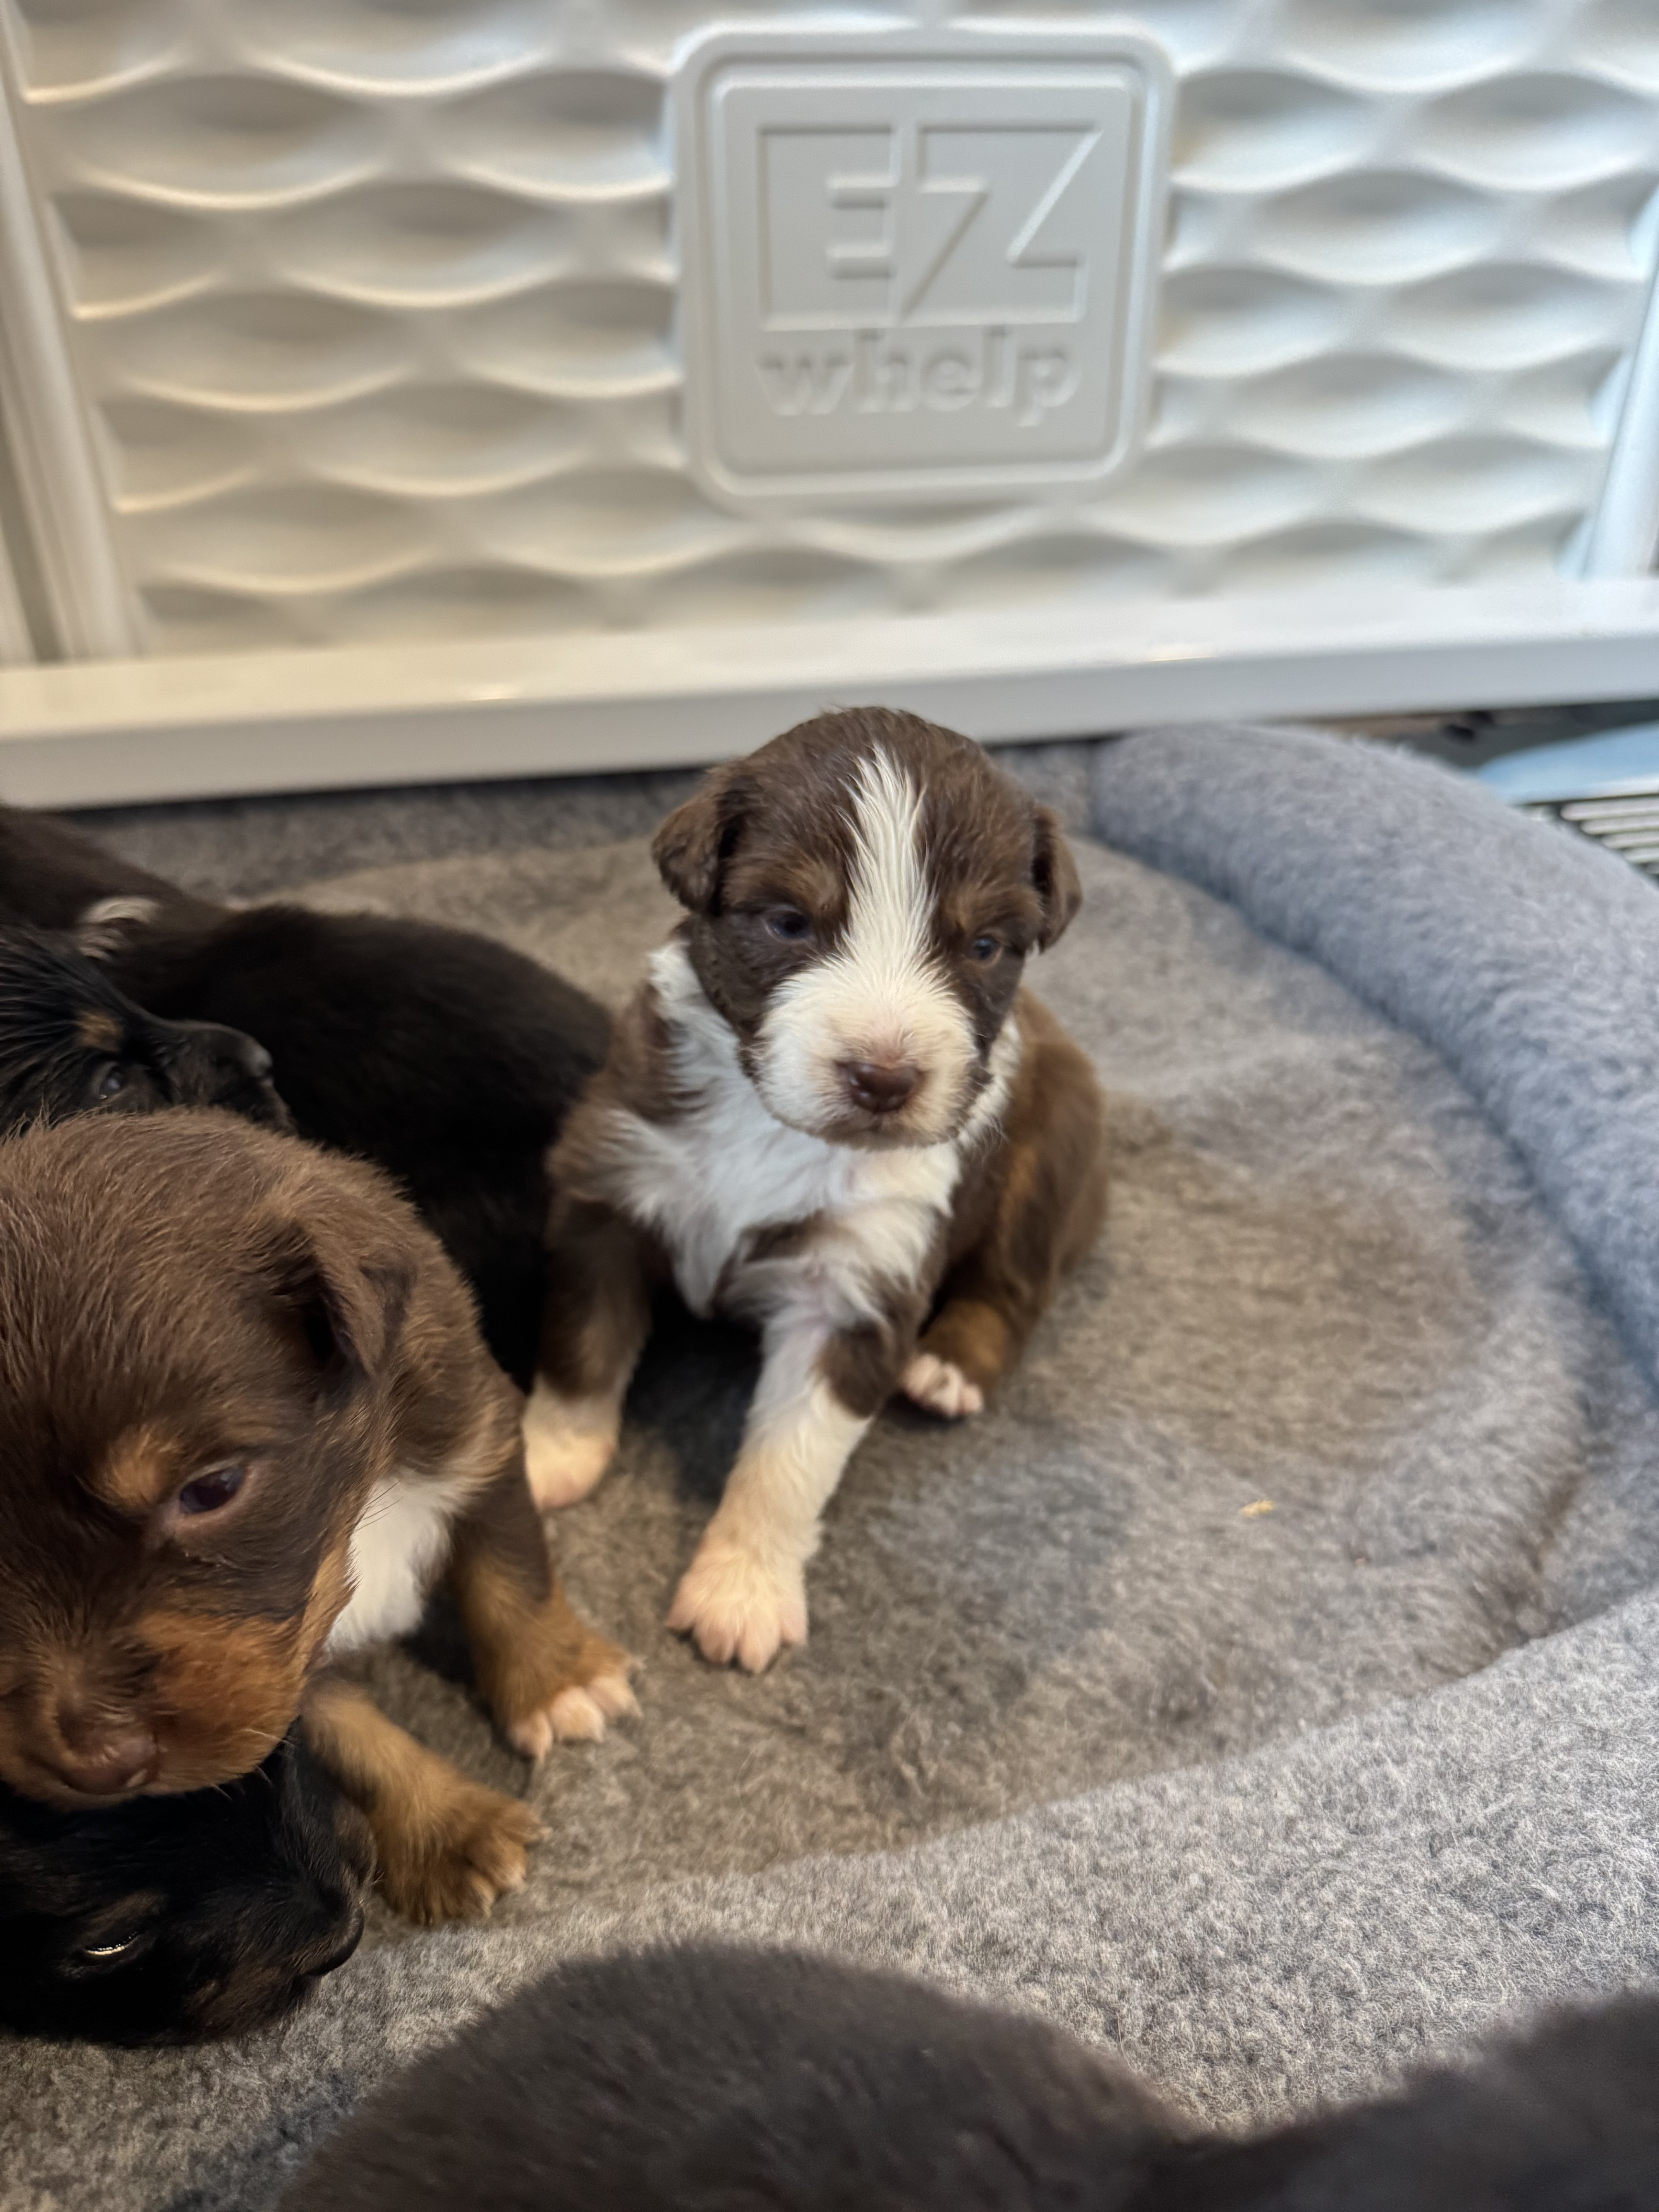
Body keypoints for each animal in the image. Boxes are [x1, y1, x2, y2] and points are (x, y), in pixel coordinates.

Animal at [0, 1110, 636, 1923]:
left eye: (213, 1488)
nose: (98, 1764)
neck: (354, 1510)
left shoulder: (477, 1438)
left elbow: (513, 1578)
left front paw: (560, 1684)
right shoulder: (281, 1665)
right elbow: (355, 1739)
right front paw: (451, 1827)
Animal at [524, 708, 1107, 1669]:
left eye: (984, 946)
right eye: (790, 922)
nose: (884, 1078)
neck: (776, 1130)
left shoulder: (859, 1283)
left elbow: (788, 1463)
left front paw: (741, 1594)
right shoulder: (610, 1184)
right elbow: (582, 1346)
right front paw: (549, 1457)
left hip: (1048, 1156)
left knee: (1015, 1285)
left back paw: (948, 1368)